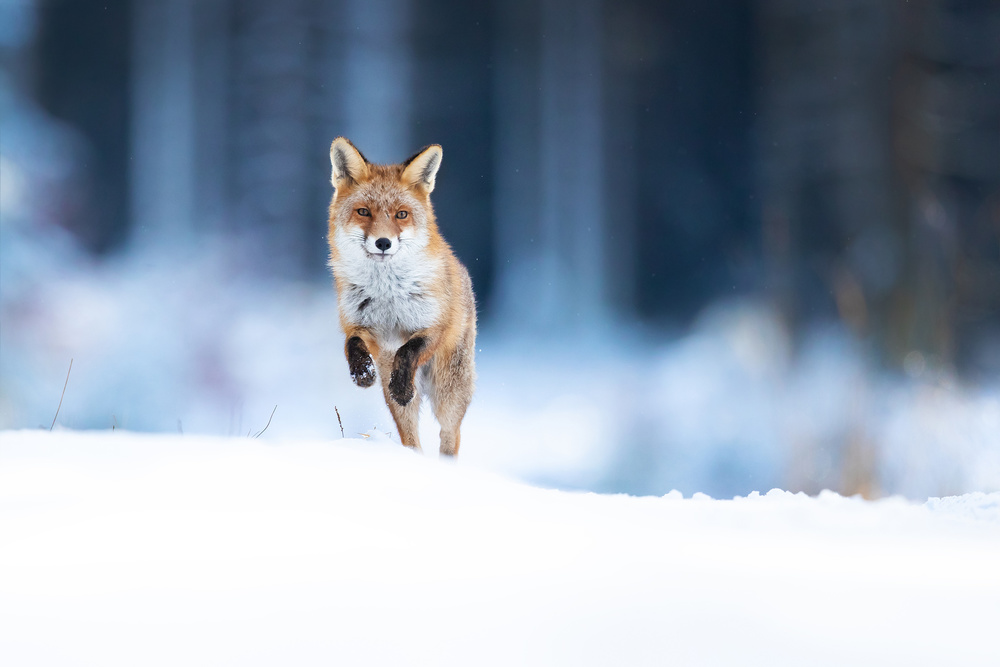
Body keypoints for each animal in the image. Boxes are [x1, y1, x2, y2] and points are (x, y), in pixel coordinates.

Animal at [326, 137, 477, 456]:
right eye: (363, 212)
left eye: (401, 214)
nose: (383, 242)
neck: (387, 294)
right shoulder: (364, 329)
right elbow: (352, 345)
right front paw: (362, 372)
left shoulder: (434, 328)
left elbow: (409, 350)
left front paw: (402, 384)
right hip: (396, 395)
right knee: (411, 436)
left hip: (449, 390)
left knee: (450, 434)